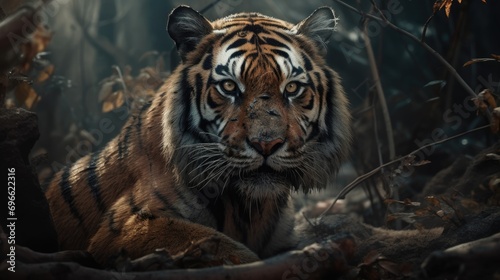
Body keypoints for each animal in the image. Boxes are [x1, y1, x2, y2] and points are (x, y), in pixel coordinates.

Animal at [44, 5, 352, 266]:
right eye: (229, 87)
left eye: (291, 88)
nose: (266, 144)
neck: (250, 208)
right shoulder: (126, 225)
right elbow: (216, 243)